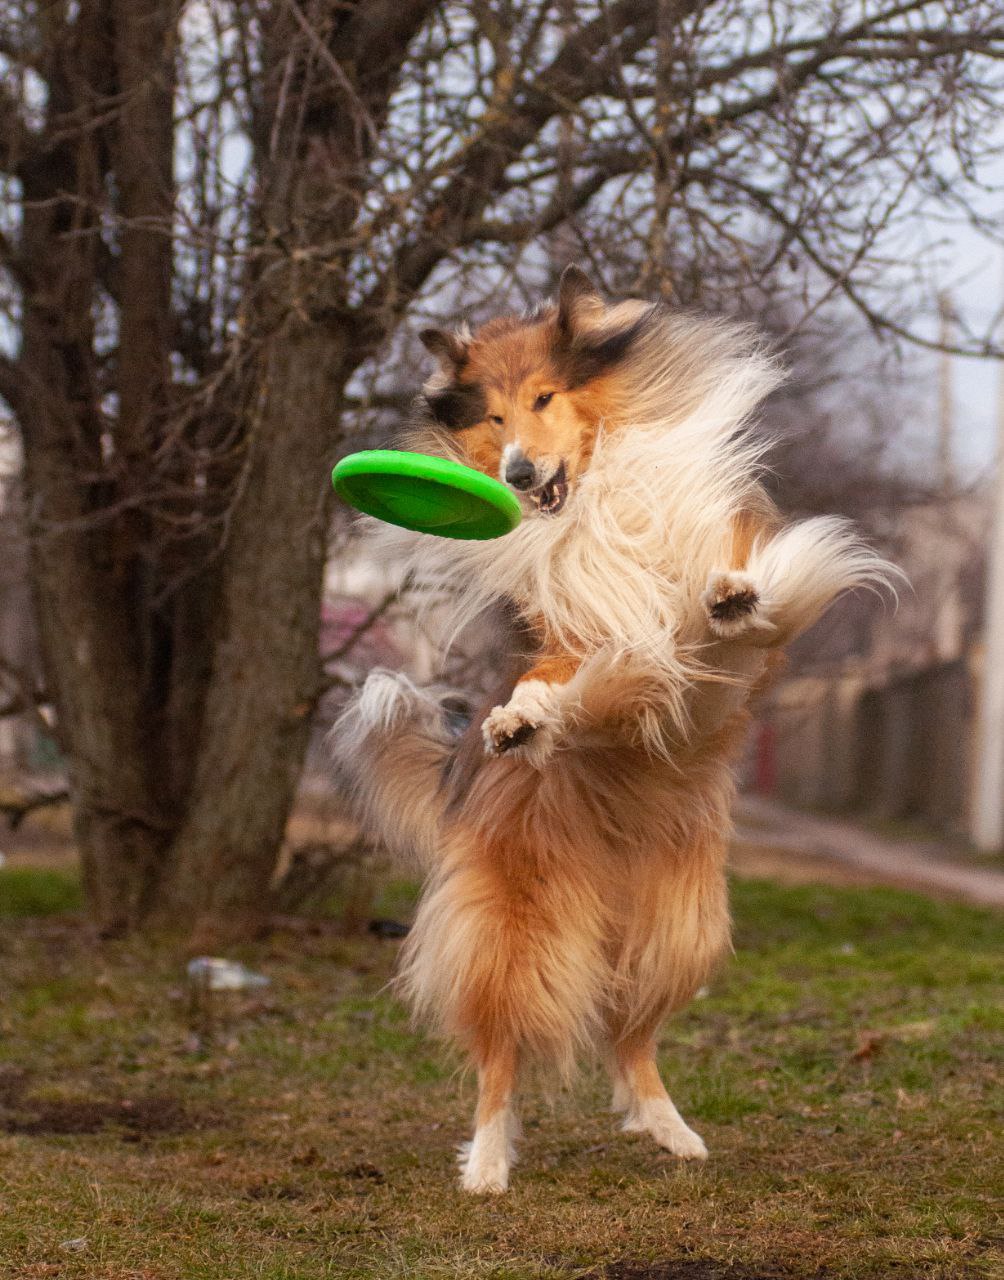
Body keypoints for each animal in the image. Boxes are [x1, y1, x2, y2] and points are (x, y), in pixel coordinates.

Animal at [332, 264, 891, 1192]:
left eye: (545, 397)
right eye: (493, 416)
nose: (520, 474)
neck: (592, 495)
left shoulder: (734, 587)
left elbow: (741, 591)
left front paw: (733, 595)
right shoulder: (572, 634)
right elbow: (562, 674)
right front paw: (521, 718)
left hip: (680, 930)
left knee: (631, 1042)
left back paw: (670, 1129)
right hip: (519, 932)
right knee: (503, 1053)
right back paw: (488, 1162)